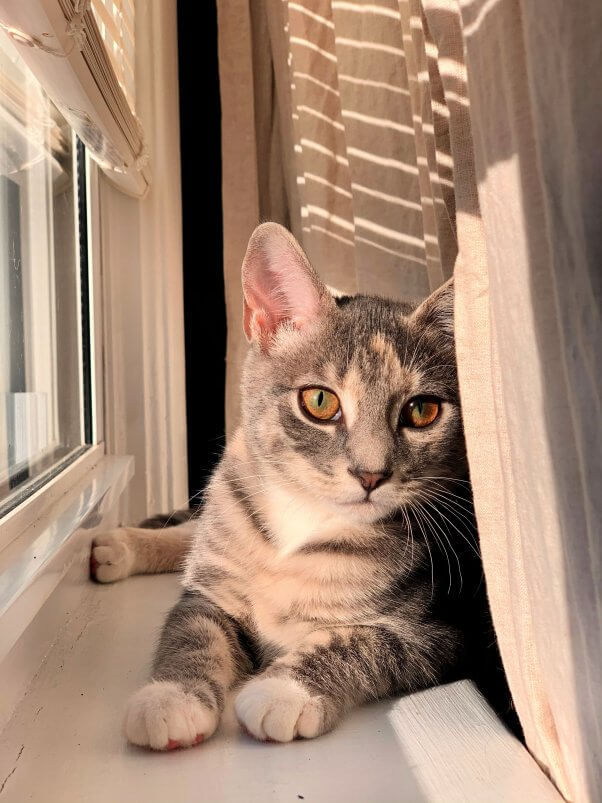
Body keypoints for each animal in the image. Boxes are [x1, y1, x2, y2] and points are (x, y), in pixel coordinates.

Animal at [90, 221, 510, 752]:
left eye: (421, 410)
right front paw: (171, 697)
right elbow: (191, 630)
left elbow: (360, 641)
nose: (371, 474)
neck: (303, 526)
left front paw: (283, 691)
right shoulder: (211, 588)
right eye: (319, 401)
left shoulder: (445, 631)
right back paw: (122, 544)